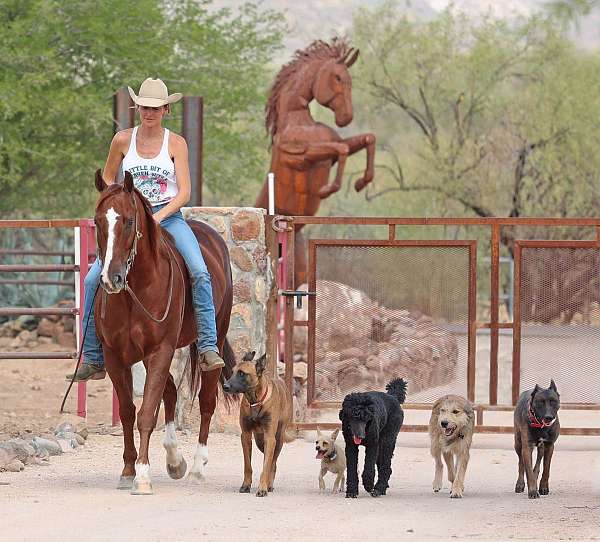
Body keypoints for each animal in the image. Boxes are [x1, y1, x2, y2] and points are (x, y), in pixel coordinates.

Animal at [93, 171, 234, 498]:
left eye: (129, 221)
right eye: (97, 221)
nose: (111, 278)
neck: (136, 290)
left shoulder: (161, 349)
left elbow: (146, 413)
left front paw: (143, 476)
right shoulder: (115, 356)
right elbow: (129, 411)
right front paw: (128, 470)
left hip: (216, 335)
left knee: (206, 401)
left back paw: (196, 467)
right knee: (170, 391)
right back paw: (174, 459)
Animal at [221, 352, 294, 498]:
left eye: (242, 373)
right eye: (232, 372)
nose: (225, 386)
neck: (255, 400)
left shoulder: (270, 438)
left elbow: (266, 466)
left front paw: (262, 488)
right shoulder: (246, 436)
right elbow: (247, 465)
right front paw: (246, 485)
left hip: (278, 439)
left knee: (273, 462)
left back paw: (269, 484)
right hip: (259, 440)